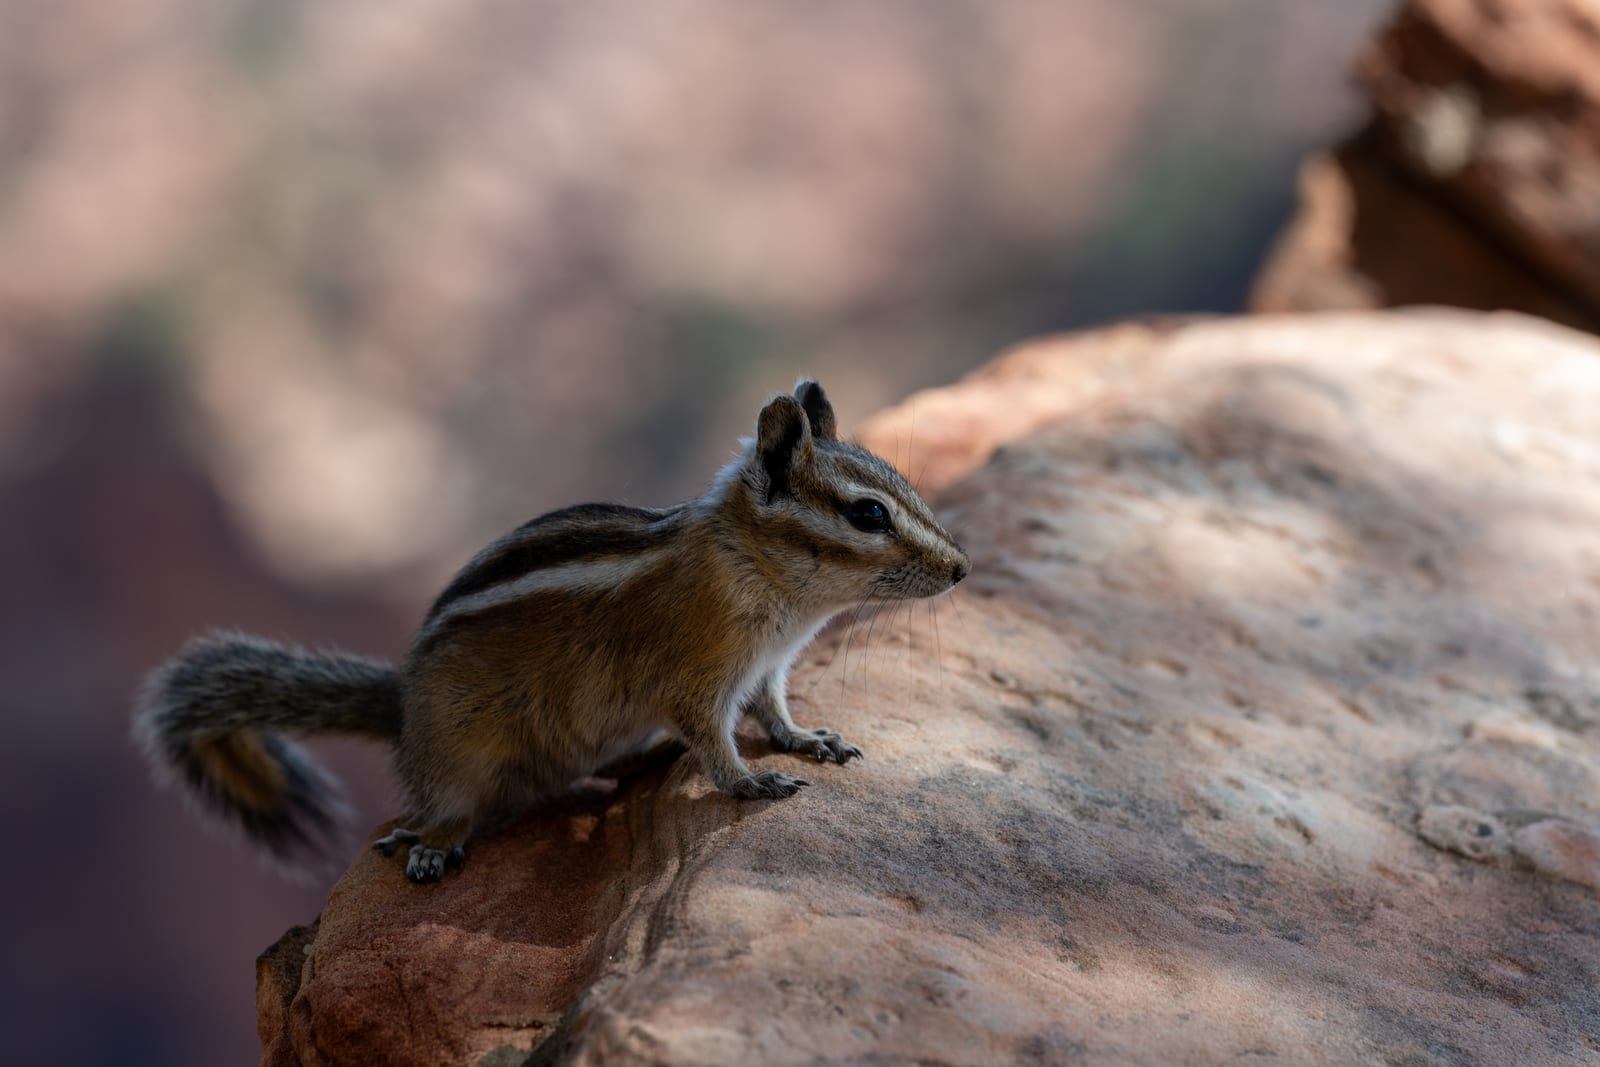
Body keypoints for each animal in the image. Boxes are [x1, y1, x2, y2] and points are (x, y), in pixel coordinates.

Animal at [134, 380, 969, 882]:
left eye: (901, 481)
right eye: (868, 513)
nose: (962, 567)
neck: (765, 576)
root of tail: (402, 710)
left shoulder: (766, 666)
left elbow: (774, 710)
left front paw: (808, 739)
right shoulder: (695, 675)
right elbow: (715, 738)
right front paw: (749, 779)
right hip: (459, 747)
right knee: (449, 801)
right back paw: (432, 843)